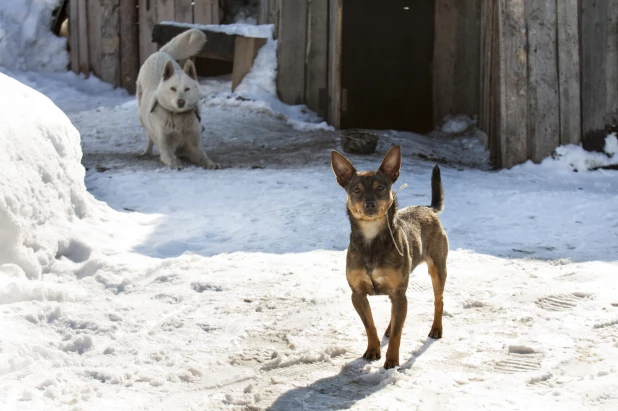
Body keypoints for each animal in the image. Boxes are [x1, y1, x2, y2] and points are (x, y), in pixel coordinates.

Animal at [136, 29, 218, 169]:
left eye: (187, 89)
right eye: (173, 88)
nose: (181, 102)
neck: (179, 118)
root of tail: (160, 52)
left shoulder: (195, 145)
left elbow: (203, 156)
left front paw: (211, 164)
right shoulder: (165, 148)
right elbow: (171, 158)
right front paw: (177, 165)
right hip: (141, 115)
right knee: (149, 136)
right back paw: (146, 151)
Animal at [330, 146, 446, 370]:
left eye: (381, 187)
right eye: (356, 190)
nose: (370, 204)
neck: (371, 237)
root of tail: (427, 208)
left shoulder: (399, 293)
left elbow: (398, 335)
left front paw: (391, 360)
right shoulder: (358, 294)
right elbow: (369, 325)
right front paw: (373, 350)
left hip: (437, 269)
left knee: (439, 301)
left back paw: (436, 329)